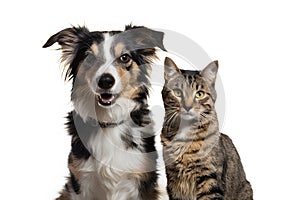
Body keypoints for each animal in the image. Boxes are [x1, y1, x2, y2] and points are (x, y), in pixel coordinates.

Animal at [44, 25, 166, 200]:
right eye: (89, 57)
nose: (106, 81)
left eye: (124, 57)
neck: (109, 121)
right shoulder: (80, 181)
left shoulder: (143, 182)